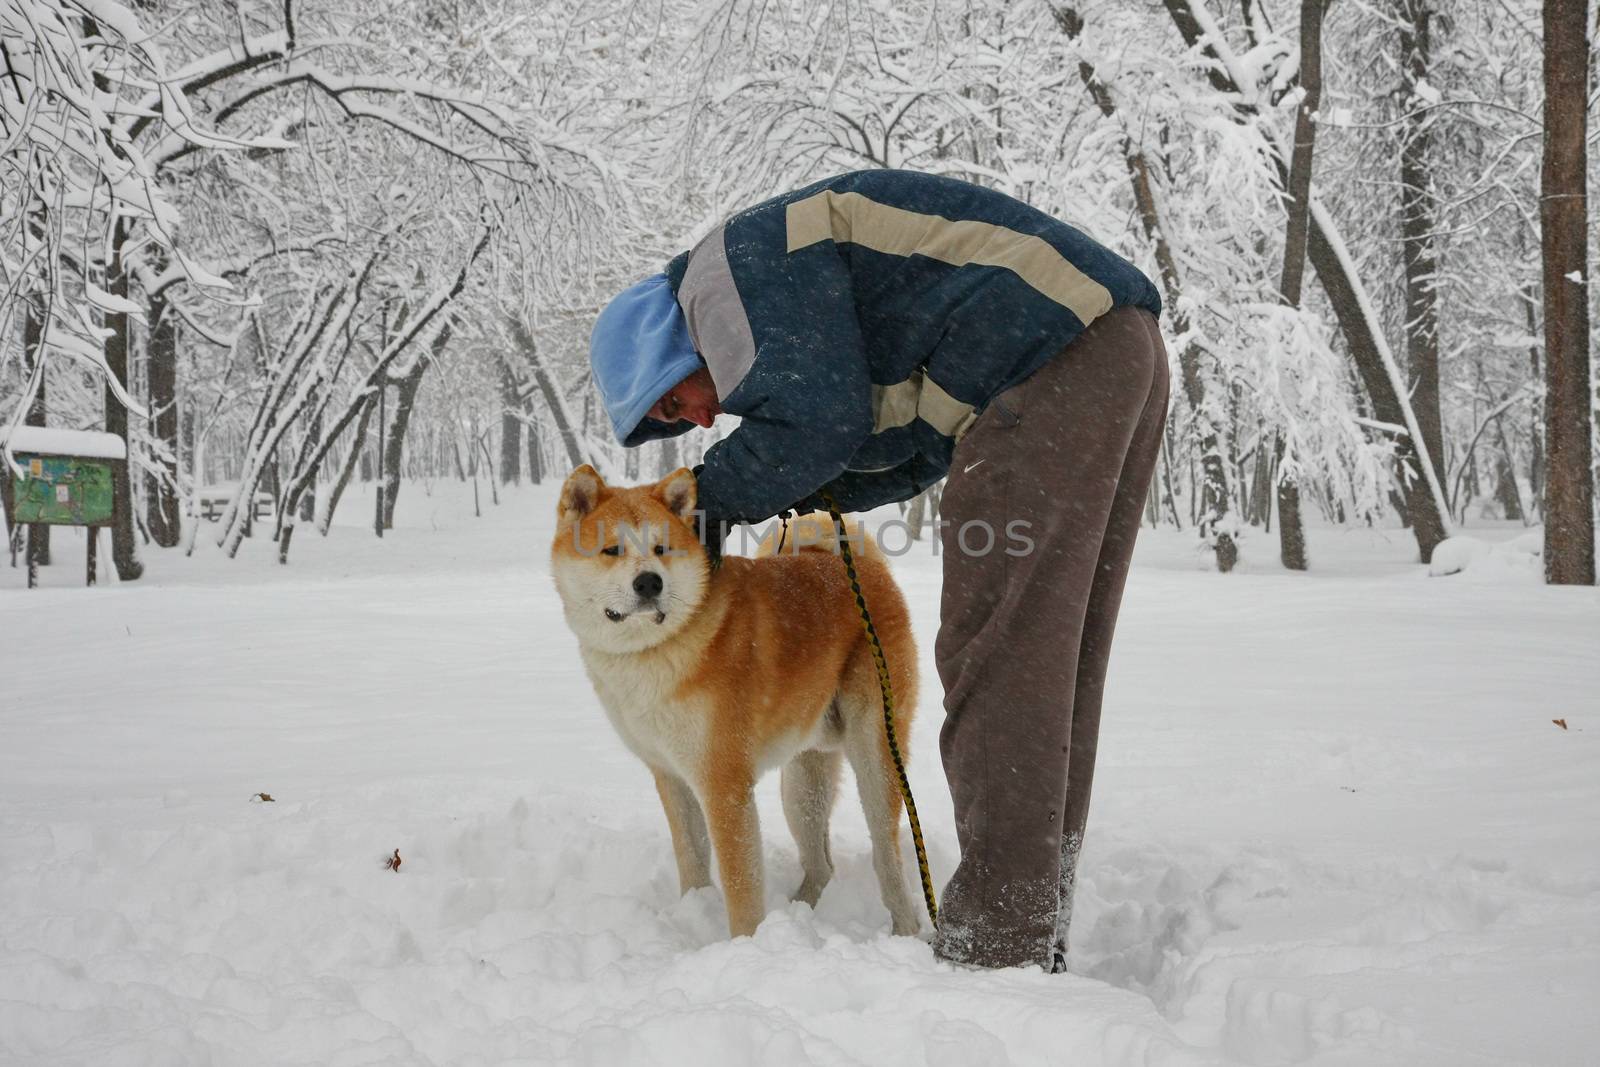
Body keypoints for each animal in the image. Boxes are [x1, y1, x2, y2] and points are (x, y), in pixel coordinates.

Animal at [553, 463, 921, 940]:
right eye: (611, 550)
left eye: (662, 548)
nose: (649, 582)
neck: (663, 644)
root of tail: (863, 568)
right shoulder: (672, 777)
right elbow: (692, 859)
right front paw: (694, 912)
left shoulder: (723, 784)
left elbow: (740, 884)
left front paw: (745, 944)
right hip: (803, 782)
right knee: (821, 863)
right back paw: (797, 916)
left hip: (875, 757)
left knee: (887, 854)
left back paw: (904, 928)